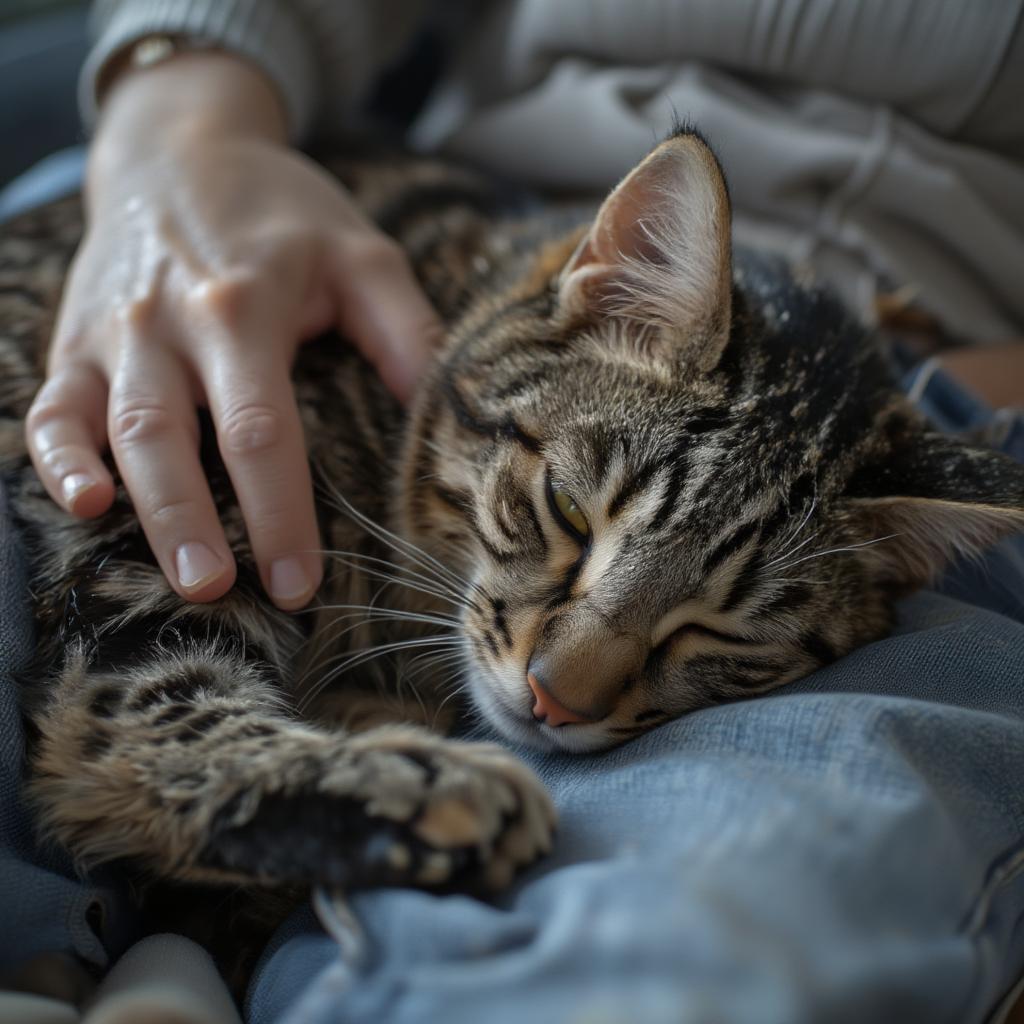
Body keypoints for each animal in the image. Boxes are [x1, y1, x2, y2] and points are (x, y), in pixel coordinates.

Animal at [2, 128, 1024, 942]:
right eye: (570, 510)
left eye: (721, 632)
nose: (552, 700)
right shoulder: (164, 528)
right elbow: (145, 714)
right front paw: (405, 779)